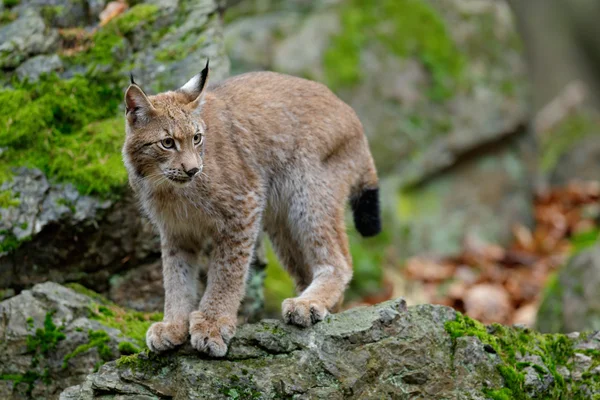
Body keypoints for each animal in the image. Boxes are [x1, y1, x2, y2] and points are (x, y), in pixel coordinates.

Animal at [122, 61, 380, 358]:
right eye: (167, 143)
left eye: (197, 138)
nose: (193, 169)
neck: (168, 187)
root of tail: (349, 110)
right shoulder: (176, 230)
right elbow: (176, 277)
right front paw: (173, 325)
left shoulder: (243, 204)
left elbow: (227, 271)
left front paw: (212, 324)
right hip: (281, 220)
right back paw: (322, 308)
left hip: (307, 192)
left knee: (340, 260)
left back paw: (308, 303)